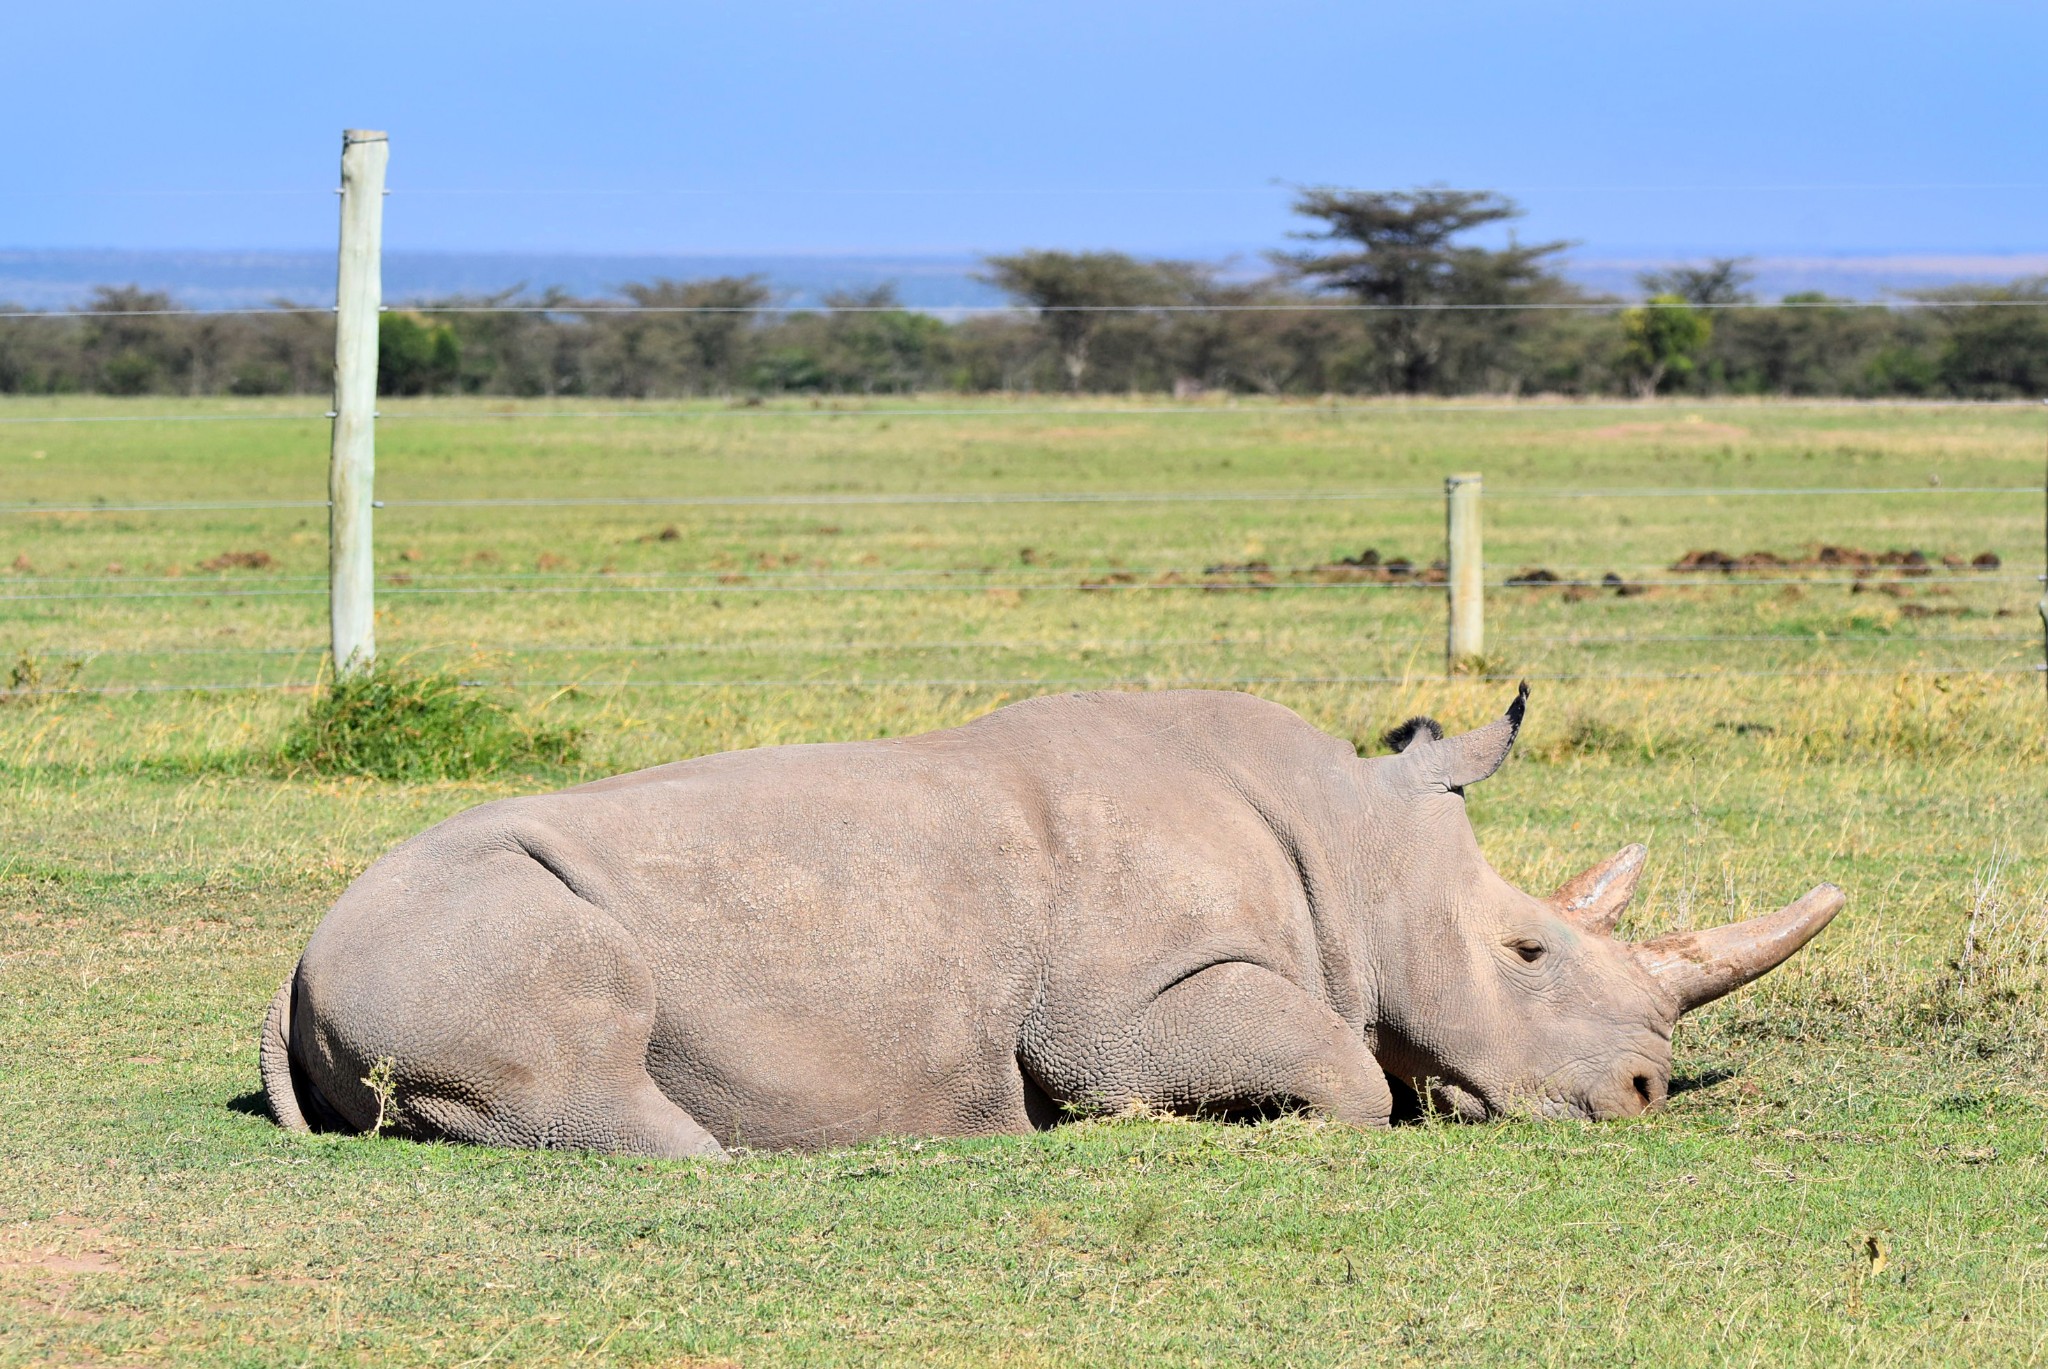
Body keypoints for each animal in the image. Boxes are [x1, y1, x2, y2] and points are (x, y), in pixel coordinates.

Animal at [264, 684, 1851, 1155]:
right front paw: (1167, 1120)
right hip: (463, 918)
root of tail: (295, 957)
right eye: (1528, 952)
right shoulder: (1122, 1003)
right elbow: (1339, 1073)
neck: (1351, 840)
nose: (1643, 1092)